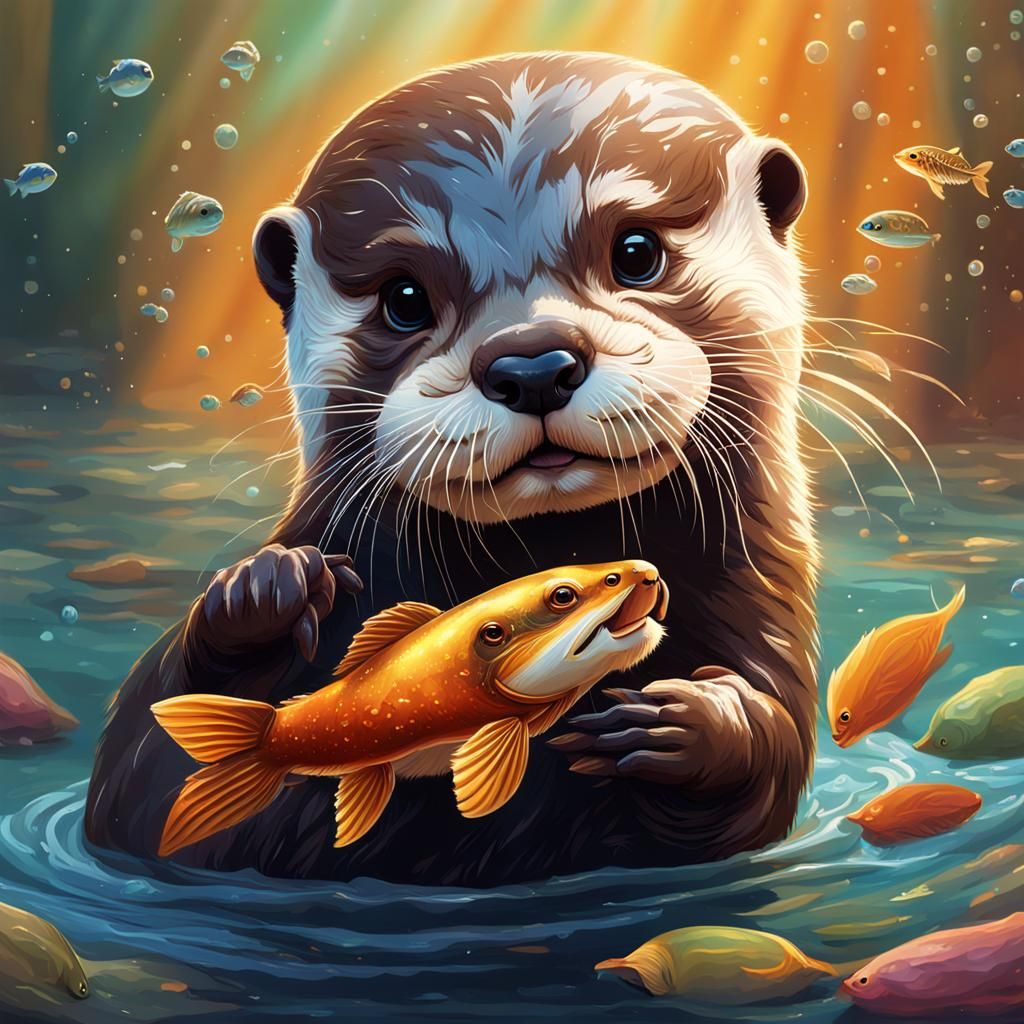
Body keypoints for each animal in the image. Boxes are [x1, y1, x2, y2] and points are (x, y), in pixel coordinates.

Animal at [85, 52, 819, 886]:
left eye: (636, 252)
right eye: (404, 298)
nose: (532, 364)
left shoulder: (761, 615)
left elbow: (770, 769)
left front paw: (691, 724)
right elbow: (136, 787)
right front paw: (265, 592)